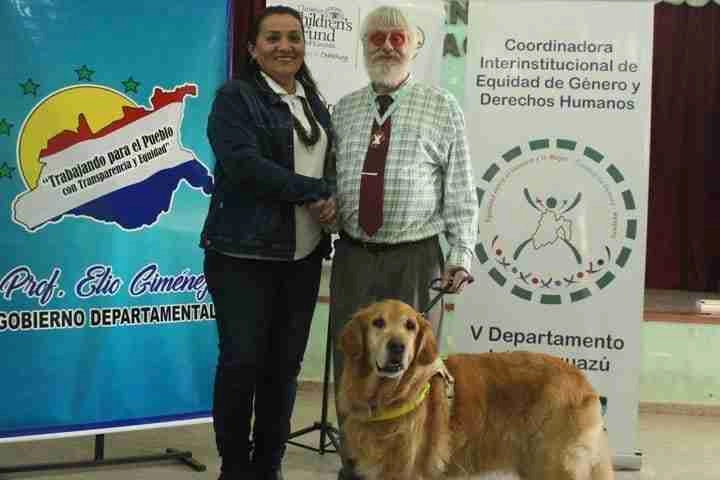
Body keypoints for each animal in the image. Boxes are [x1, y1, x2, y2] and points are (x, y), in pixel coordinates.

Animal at [338, 300, 612, 480]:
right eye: (378, 322)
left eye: (410, 326)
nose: (398, 347)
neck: (389, 395)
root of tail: (583, 380)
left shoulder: (407, 471)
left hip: (554, 464)